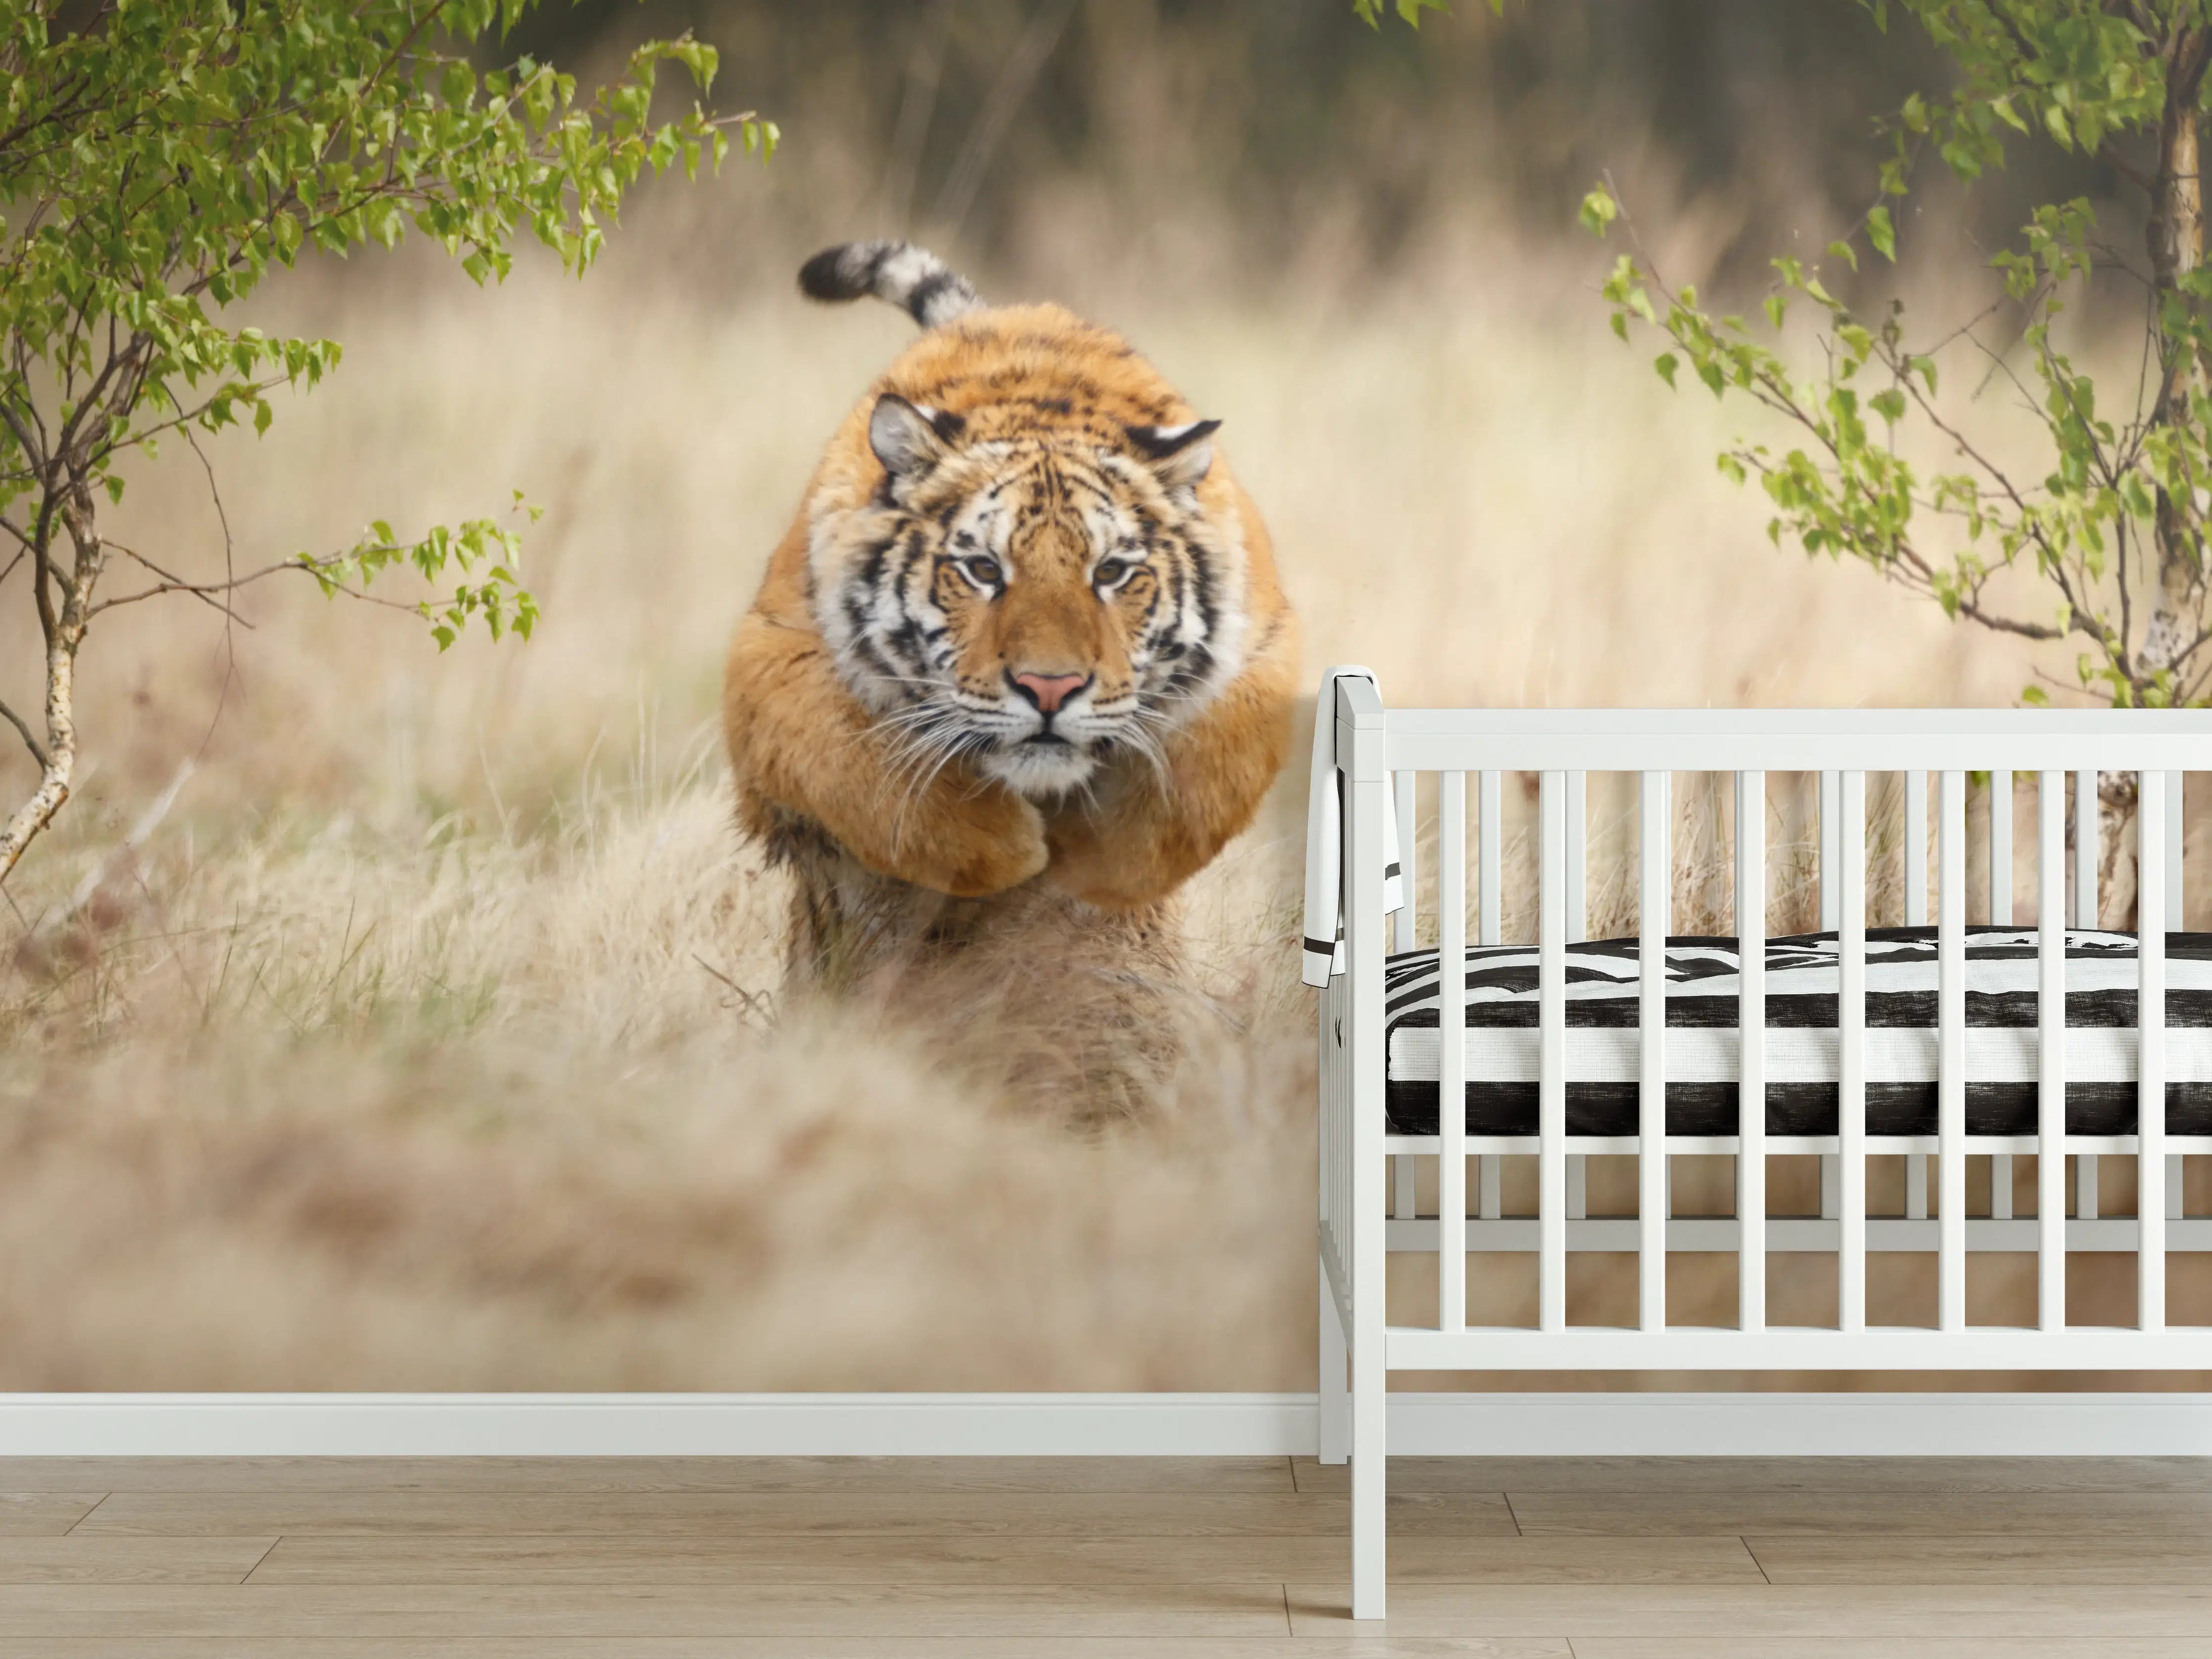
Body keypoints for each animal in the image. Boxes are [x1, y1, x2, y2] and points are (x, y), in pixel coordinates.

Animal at [722, 240, 1298, 985]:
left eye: (1110, 572)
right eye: (983, 570)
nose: (1049, 690)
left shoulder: (1263, 650)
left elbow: (1201, 784)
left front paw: (1102, 867)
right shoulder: (774, 657)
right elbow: (857, 769)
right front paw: (1010, 850)